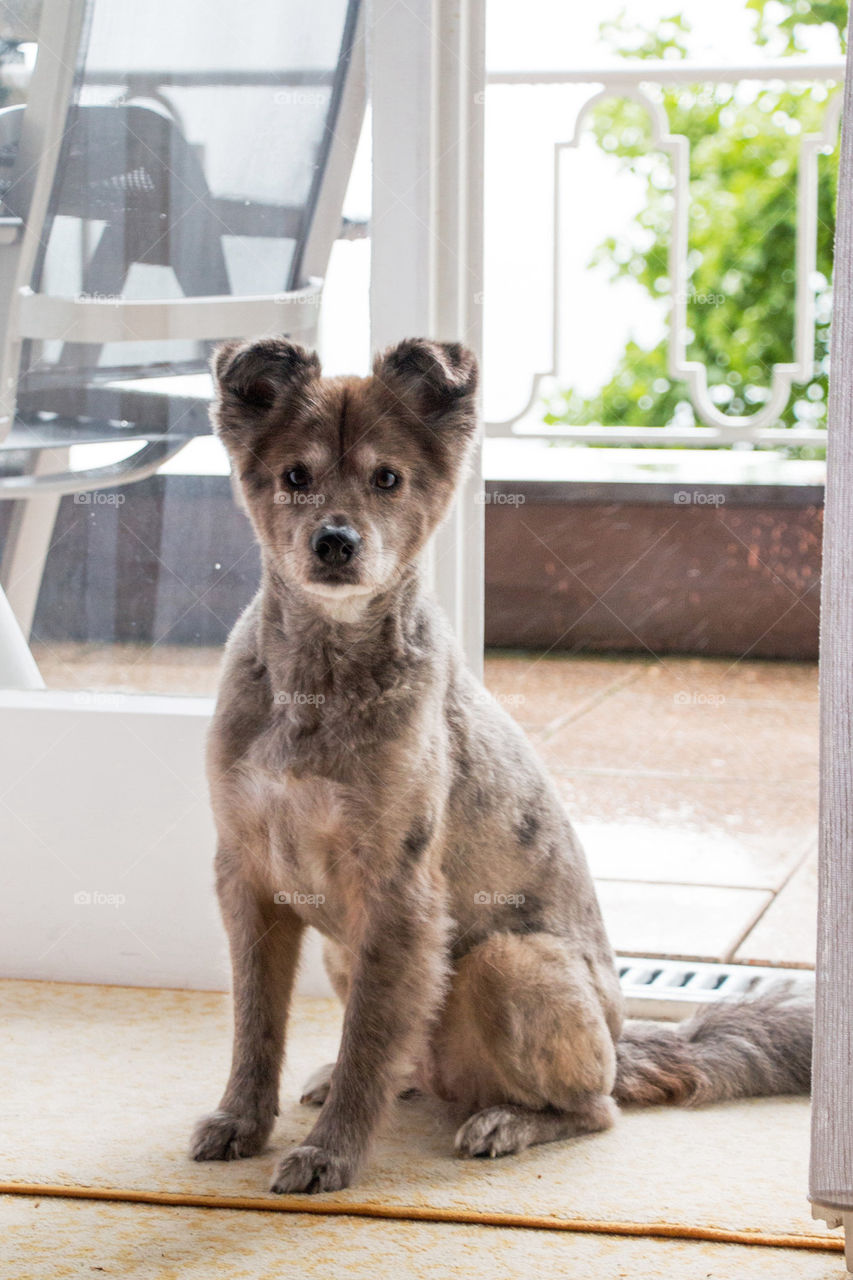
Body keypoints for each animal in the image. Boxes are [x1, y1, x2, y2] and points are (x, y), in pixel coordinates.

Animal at [189, 335, 809, 1192]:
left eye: (388, 479)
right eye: (294, 477)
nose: (335, 543)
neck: (317, 681)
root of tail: (622, 1044)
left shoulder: (398, 896)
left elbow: (366, 1043)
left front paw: (331, 1153)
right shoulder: (247, 881)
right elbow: (256, 1026)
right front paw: (242, 1120)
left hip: (504, 961)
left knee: (593, 1107)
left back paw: (509, 1120)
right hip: (353, 956)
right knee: (407, 1058)